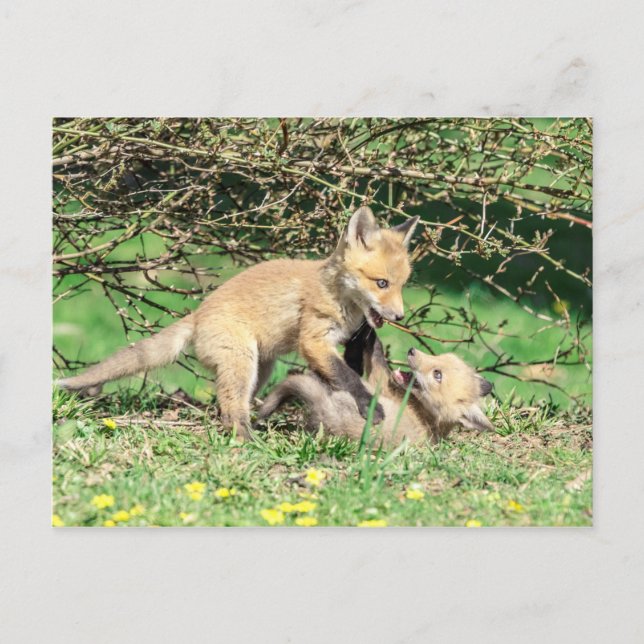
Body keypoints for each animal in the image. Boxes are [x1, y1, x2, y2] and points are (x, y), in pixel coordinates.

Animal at [57, 206, 419, 440]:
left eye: (403, 285)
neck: (340, 299)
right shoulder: (313, 340)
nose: (400, 317)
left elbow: (347, 370)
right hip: (242, 361)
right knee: (231, 408)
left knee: (231, 404)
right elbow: (347, 377)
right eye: (382, 283)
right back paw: (246, 439)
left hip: (261, 368)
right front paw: (368, 406)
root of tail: (198, 314)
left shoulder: (344, 343)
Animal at [258, 328, 494, 446]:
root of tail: (325, 410)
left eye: (437, 374)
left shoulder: (381, 383)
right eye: (440, 357)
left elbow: (377, 355)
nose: (411, 350)